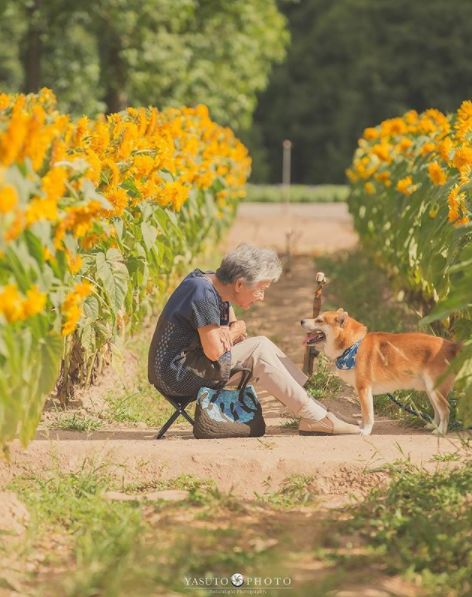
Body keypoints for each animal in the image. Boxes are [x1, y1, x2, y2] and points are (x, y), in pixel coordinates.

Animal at [302, 310, 460, 436]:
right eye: (316, 317)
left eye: (319, 320)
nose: (301, 321)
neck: (352, 346)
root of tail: (450, 345)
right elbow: (365, 414)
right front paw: (362, 427)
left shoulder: (364, 389)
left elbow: (368, 415)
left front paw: (366, 431)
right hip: (430, 390)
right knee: (438, 411)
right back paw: (432, 425)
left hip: (435, 390)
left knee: (445, 411)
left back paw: (440, 431)